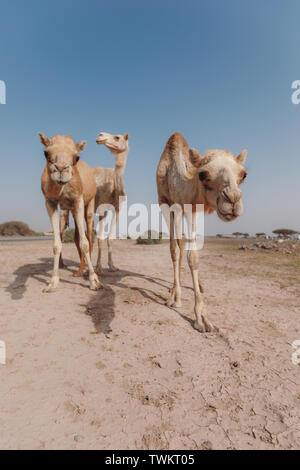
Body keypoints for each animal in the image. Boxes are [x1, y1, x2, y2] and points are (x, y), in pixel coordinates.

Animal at [39, 132, 102, 292]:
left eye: (77, 157)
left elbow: (85, 243)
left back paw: (87, 271)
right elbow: (57, 243)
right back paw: (79, 270)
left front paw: (94, 281)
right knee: (74, 235)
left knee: (89, 235)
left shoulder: (78, 200)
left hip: (89, 204)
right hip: (69, 211)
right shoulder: (50, 202)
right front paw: (52, 282)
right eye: (46, 153)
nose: (61, 169)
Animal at [156, 130, 247, 332]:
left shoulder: (193, 206)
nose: (233, 200)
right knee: (179, 246)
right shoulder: (167, 203)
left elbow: (193, 256)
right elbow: (175, 250)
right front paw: (181, 302)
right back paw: (174, 291)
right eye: (203, 174)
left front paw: (202, 316)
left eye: (243, 174)